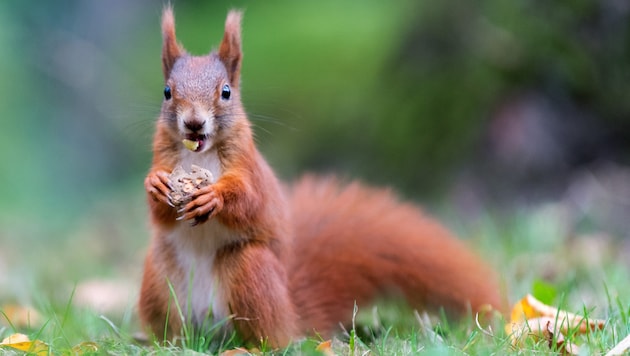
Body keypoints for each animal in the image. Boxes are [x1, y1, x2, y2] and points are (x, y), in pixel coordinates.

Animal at [141, 6, 506, 350]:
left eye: (226, 91)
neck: (199, 154)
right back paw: (171, 344)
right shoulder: (164, 157)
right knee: (173, 328)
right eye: (167, 91)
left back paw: (254, 347)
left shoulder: (251, 169)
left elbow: (251, 200)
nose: (194, 123)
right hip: (158, 278)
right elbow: (160, 213)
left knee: (270, 337)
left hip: (250, 272)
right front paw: (155, 185)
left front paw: (213, 197)